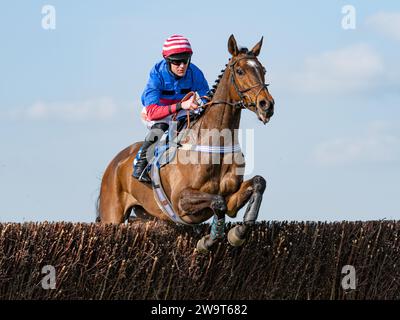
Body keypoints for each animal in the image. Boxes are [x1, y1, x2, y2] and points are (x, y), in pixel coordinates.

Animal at [98, 35, 276, 254]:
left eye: (263, 69)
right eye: (240, 71)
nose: (266, 105)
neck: (215, 144)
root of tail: (114, 164)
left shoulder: (231, 199)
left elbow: (258, 183)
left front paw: (238, 233)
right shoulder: (180, 202)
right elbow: (217, 203)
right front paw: (208, 240)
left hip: (146, 214)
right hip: (111, 214)